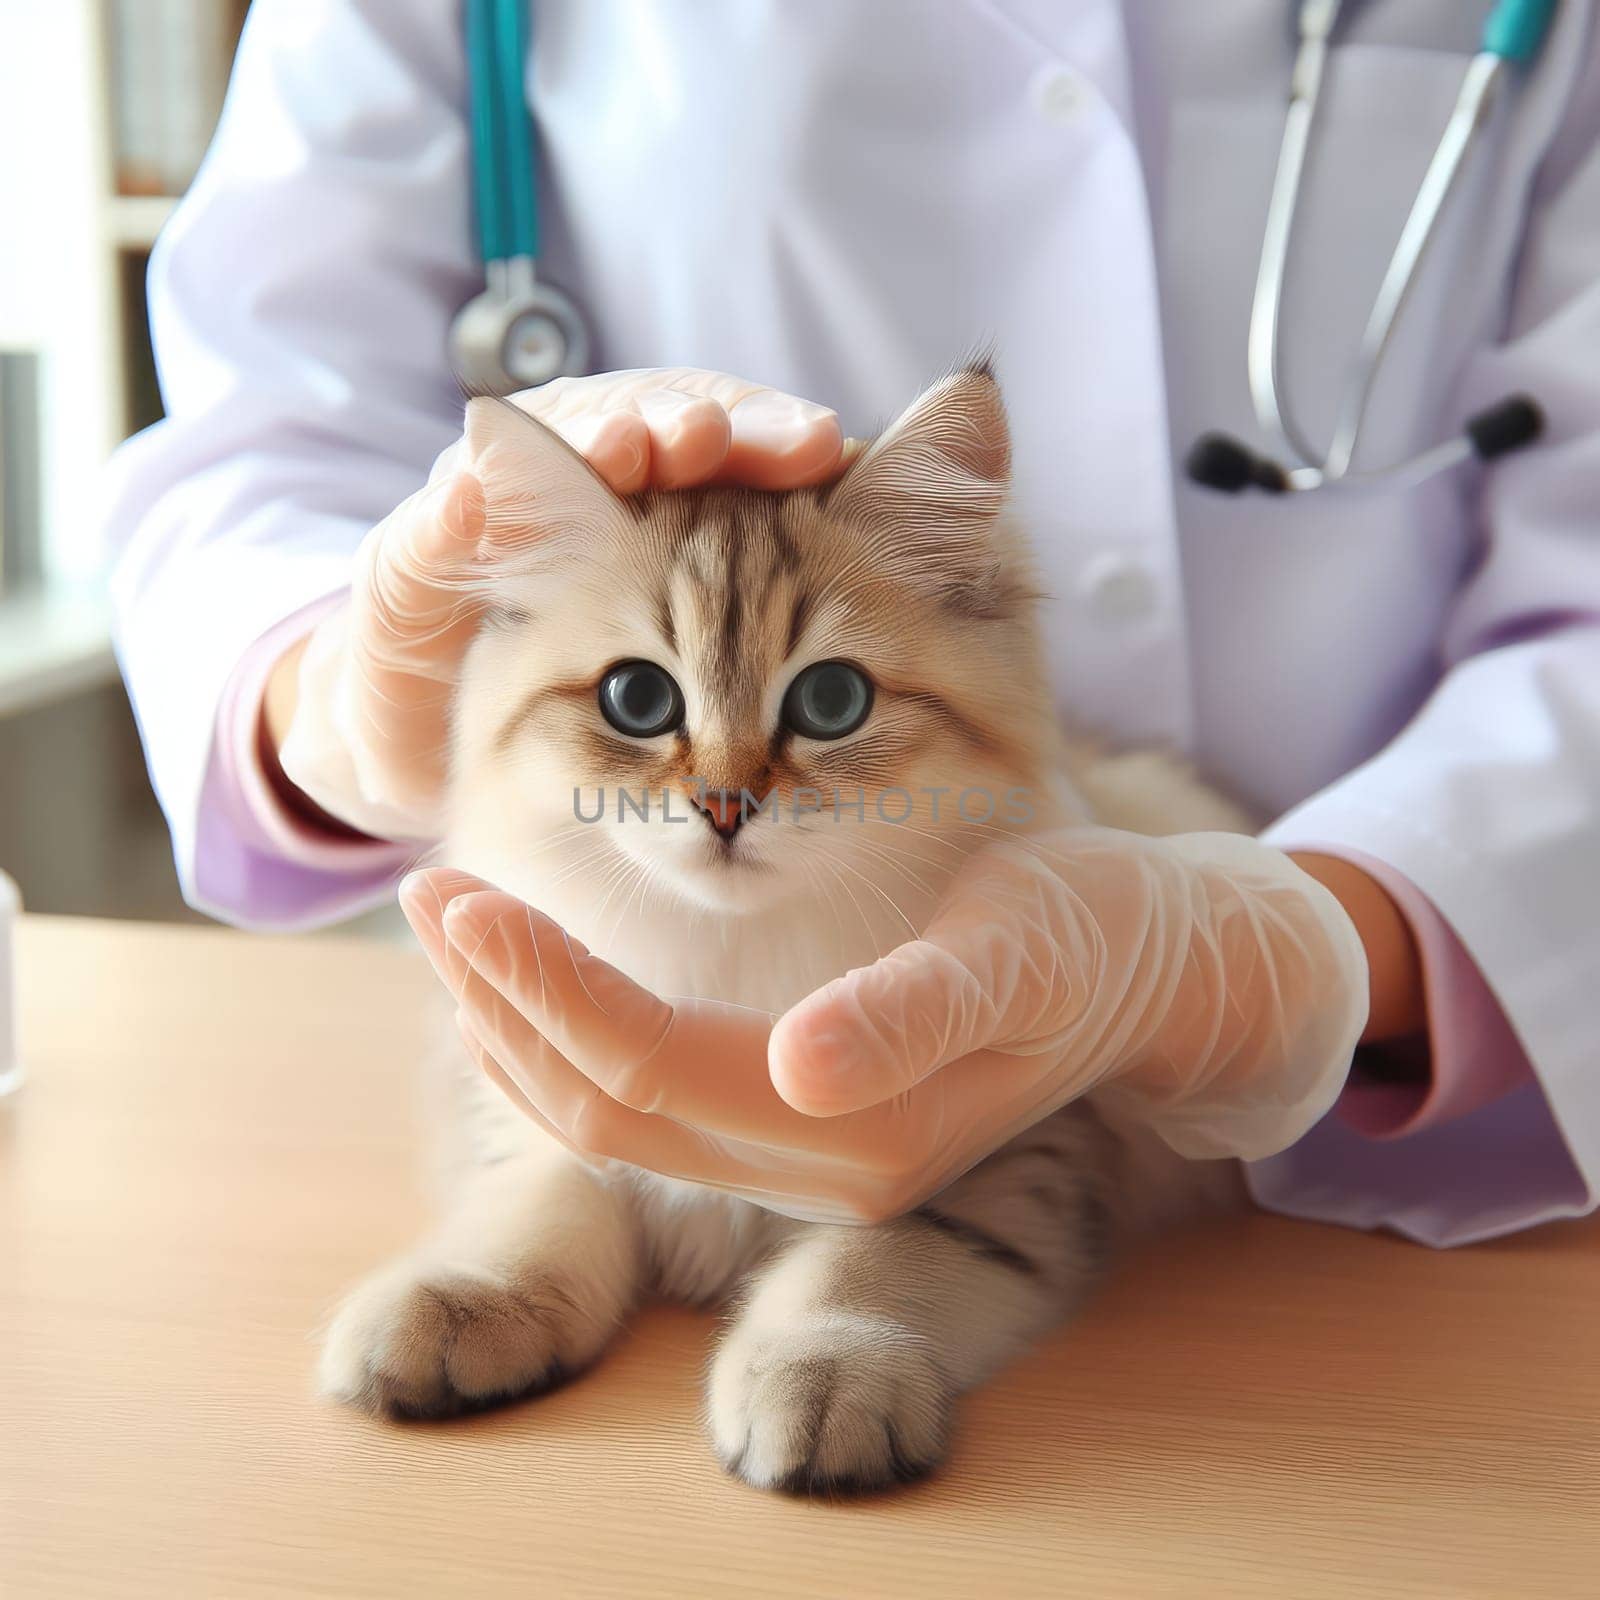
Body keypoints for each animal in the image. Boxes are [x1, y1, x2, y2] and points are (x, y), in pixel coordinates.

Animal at [321, 368, 1248, 1491]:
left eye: (832, 700)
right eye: (637, 697)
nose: (725, 806)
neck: (734, 966)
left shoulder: (992, 1145)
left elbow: (869, 1262)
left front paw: (823, 1369)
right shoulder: (545, 1090)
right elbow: (535, 1203)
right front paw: (461, 1298)